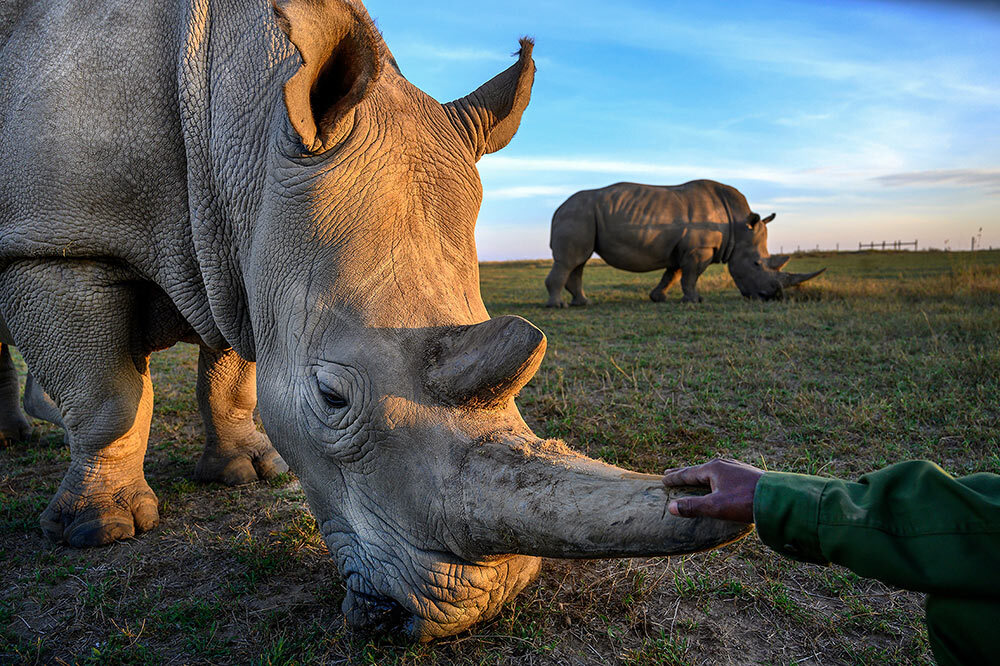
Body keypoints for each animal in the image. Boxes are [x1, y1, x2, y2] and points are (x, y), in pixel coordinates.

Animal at [0, 0, 752, 640]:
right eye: (331, 398)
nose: (485, 603)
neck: (239, 119)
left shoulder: (240, 254)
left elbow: (233, 377)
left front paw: (247, 471)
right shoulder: (54, 242)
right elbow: (108, 396)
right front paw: (98, 531)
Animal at [548, 180, 820, 308]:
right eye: (756, 264)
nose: (770, 298)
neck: (739, 226)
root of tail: (557, 208)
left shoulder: (684, 248)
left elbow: (673, 274)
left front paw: (658, 298)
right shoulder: (700, 249)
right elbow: (690, 275)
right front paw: (695, 301)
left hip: (581, 215)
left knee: (579, 262)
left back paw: (583, 303)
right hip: (577, 214)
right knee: (570, 260)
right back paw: (559, 306)